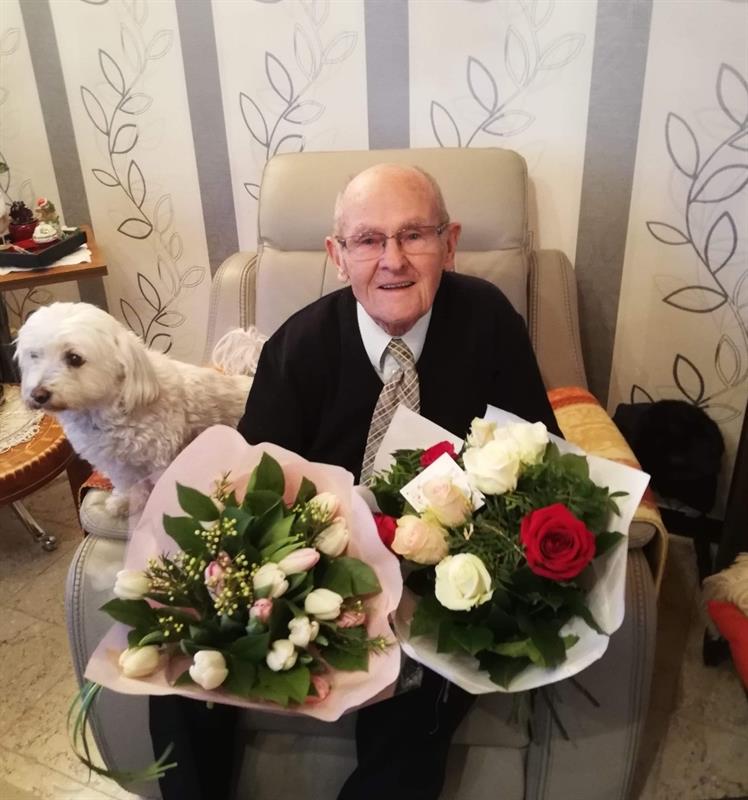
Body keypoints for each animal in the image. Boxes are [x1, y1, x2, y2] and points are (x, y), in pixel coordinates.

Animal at [16, 302, 255, 517]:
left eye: (74, 358)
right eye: (34, 355)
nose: (37, 394)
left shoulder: (160, 458)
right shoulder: (116, 463)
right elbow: (128, 484)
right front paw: (126, 503)